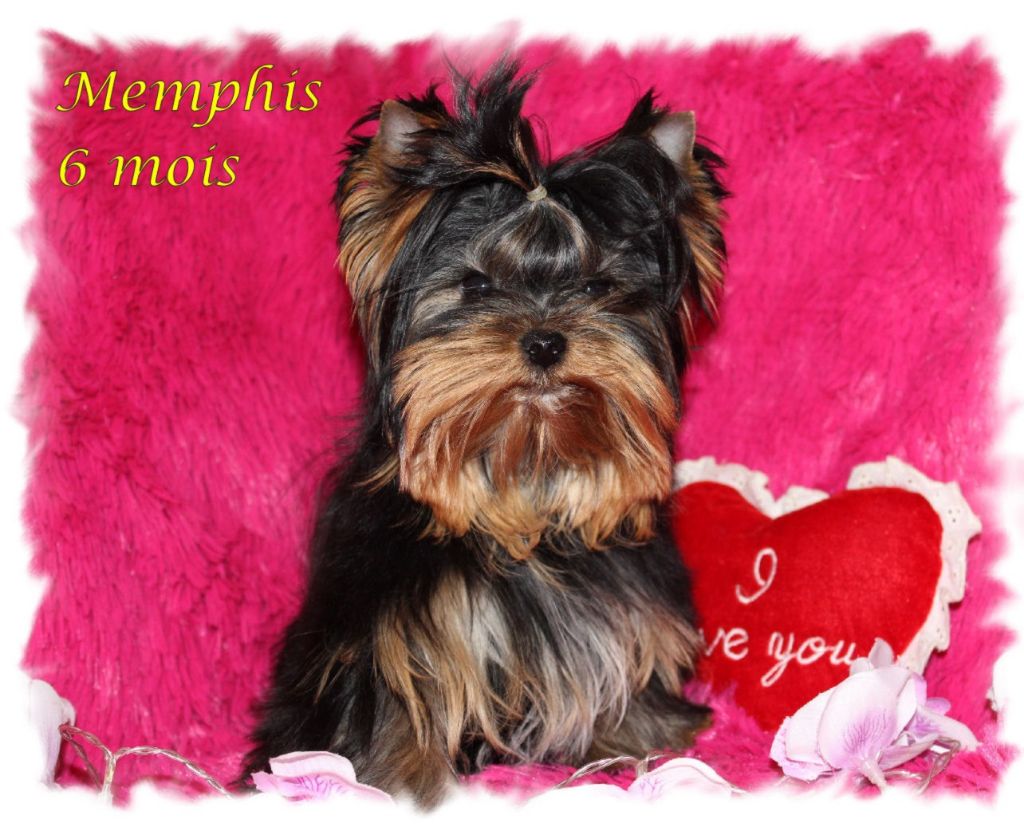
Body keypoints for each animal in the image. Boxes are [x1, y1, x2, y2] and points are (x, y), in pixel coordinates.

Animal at [244, 61, 726, 806]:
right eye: (474, 285)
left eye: (598, 286)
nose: (546, 340)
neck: (522, 485)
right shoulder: (390, 633)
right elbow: (398, 699)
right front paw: (401, 783)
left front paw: (641, 737)